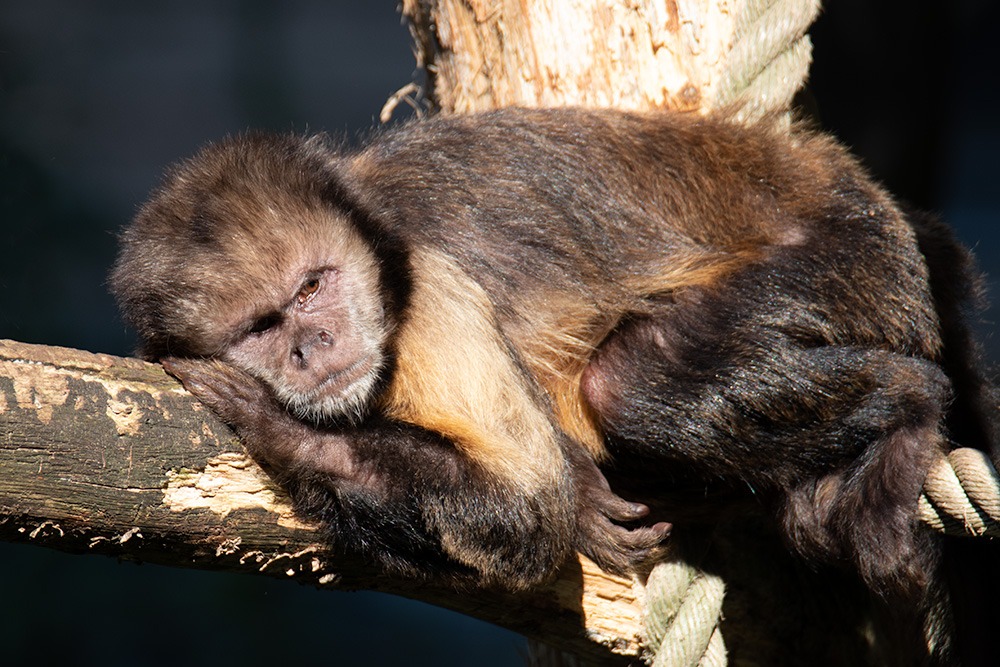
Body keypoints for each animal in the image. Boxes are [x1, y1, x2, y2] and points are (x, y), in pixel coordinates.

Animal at [113, 109, 996, 664]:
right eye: (261, 327)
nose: (311, 346)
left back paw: (911, 406)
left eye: (309, 288)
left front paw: (276, 425)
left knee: (630, 386)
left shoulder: (430, 286)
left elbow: (527, 512)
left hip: (847, 258)